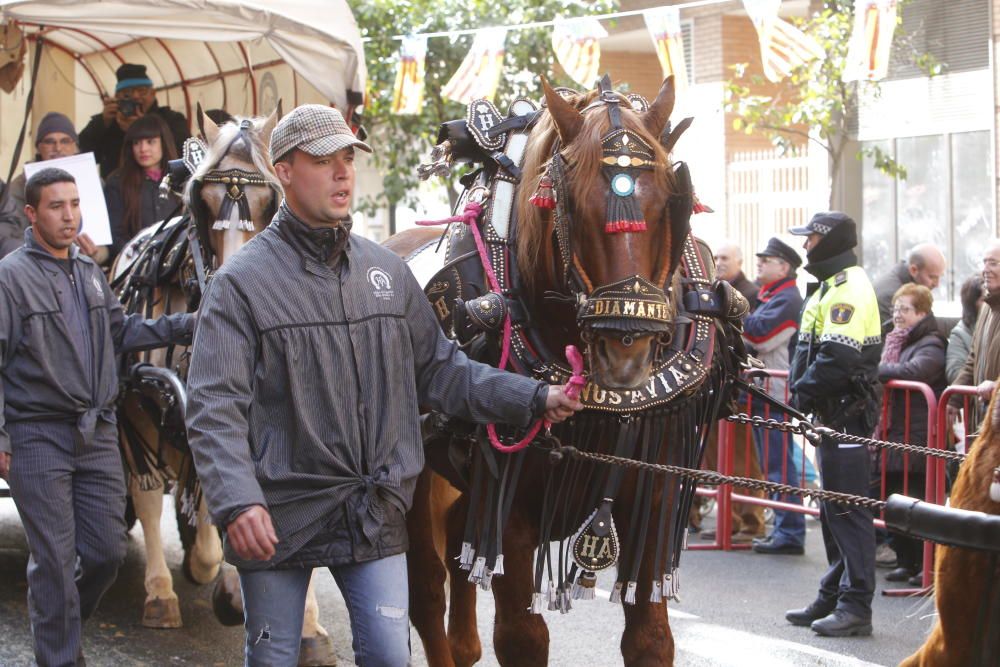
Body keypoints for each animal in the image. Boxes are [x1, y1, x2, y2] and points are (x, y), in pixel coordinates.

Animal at [390, 77, 736, 667]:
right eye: (571, 207)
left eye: (673, 201)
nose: (627, 355)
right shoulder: (509, 509)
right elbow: (521, 636)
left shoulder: (655, 494)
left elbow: (650, 637)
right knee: (428, 595)